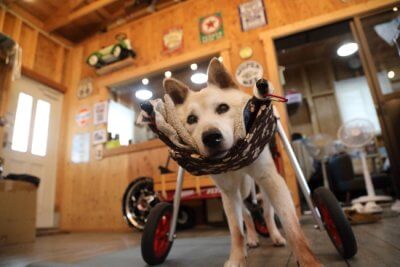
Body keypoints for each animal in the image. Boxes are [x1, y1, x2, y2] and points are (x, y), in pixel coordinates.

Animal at [162, 58, 322, 267]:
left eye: (222, 108)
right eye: (191, 119)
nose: (211, 137)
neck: (234, 158)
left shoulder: (271, 180)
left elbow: (292, 228)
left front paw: (308, 261)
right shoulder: (228, 193)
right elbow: (236, 231)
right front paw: (237, 258)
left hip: (263, 188)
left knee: (267, 215)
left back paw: (275, 237)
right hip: (241, 191)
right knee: (246, 216)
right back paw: (252, 239)